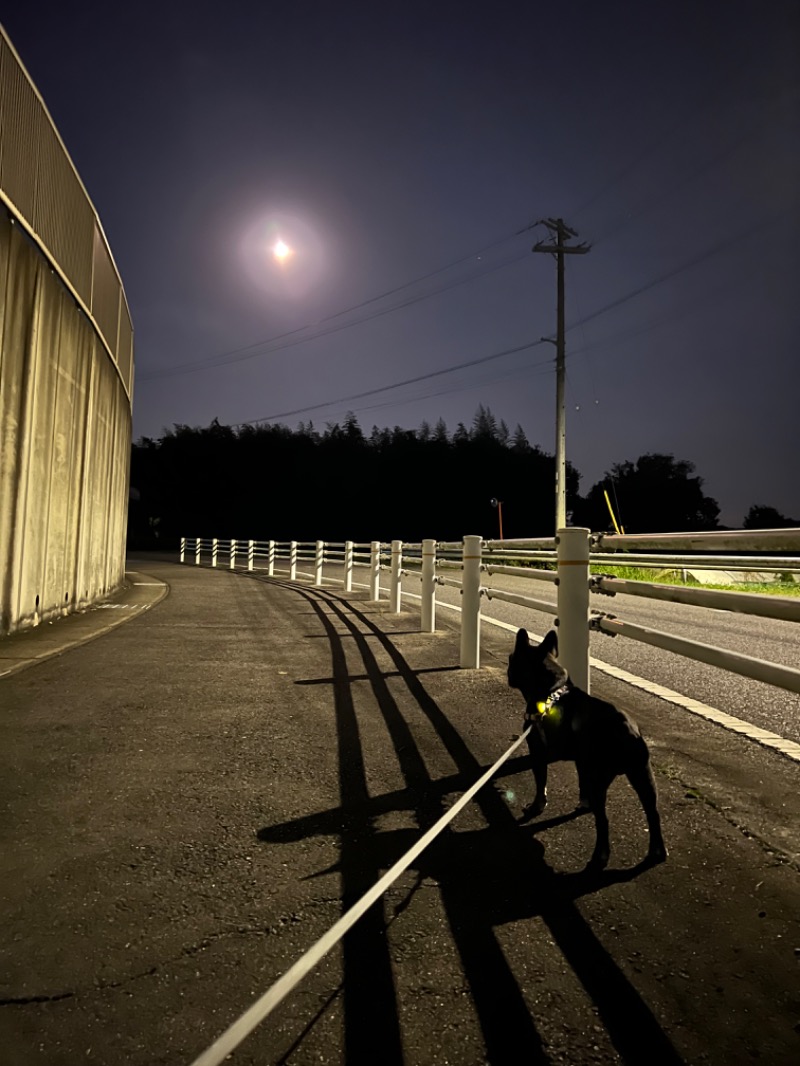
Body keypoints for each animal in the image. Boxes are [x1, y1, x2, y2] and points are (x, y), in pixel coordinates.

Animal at [509, 626, 665, 869]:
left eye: (511, 659)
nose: (508, 672)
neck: (551, 691)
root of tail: (627, 731)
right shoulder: (582, 761)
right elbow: (580, 782)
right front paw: (583, 803)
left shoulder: (537, 751)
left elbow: (540, 782)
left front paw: (536, 807)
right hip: (642, 774)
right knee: (652, 812)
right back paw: (657, 851)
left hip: (600, 778)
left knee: (603, 821)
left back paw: (600, 856)